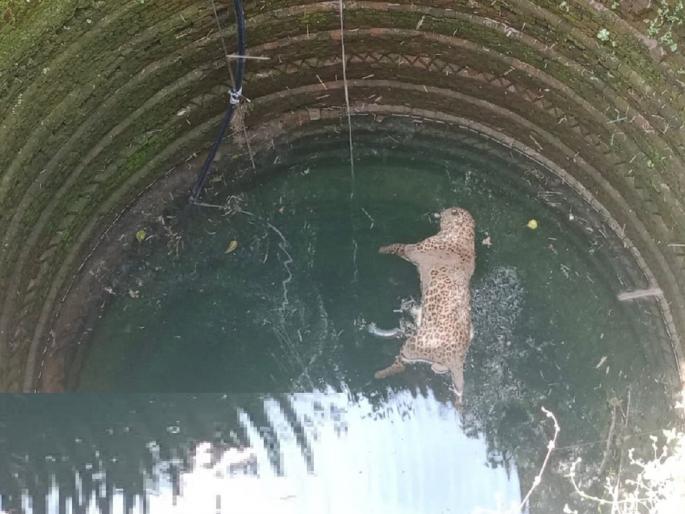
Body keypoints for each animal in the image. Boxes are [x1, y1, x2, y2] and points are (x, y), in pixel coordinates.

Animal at [374, 207, 476, 405]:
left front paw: (382, 248)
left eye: (450, 210)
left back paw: (379, 374)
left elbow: (397, 245)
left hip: (412, 346)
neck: (462, 236)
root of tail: (457, 358)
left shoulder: (412, 250)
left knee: (401, 364)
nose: (441, 210)